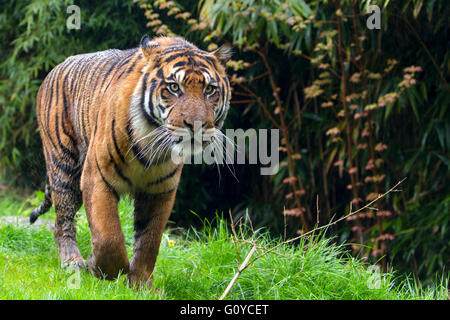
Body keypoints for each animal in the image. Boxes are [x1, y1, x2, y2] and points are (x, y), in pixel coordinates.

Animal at [29, 35, 232, 288]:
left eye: (209, 89)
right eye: (174, 87)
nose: (196, 124)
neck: (151, 143)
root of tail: (54, 69)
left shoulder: (160, 190)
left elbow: (149, 241)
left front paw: (140, 285)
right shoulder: (97, 177)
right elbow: (109, 236)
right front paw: (102, 268)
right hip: (64, 166)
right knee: (62, 220)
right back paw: (72, 262)